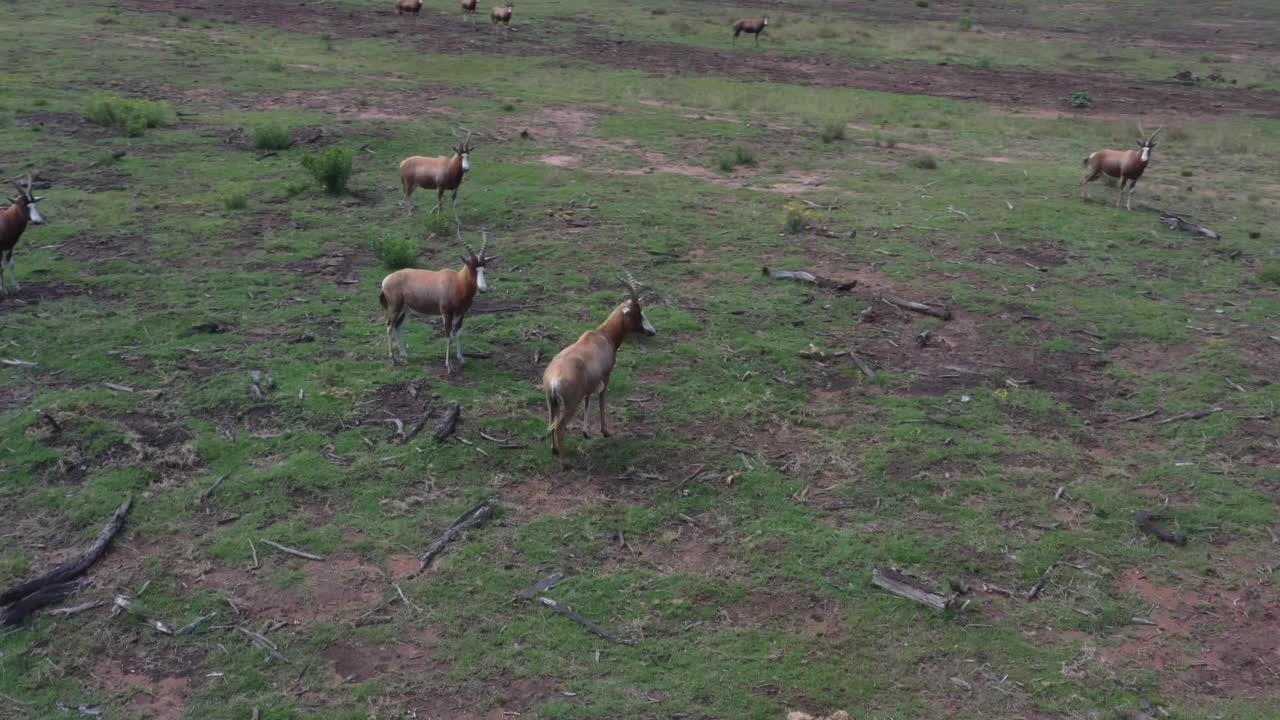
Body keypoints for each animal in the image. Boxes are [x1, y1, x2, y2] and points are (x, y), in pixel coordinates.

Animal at [373, 228, 494, 376]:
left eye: (484, 267)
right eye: (471, 267)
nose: (483, 289)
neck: (457, 281)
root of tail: (386, 280)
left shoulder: (462, 313)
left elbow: (458, 333)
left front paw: (461, 359)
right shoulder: (446, 313)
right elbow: (449, 335)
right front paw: (449, 366)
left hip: (405, 309)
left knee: (398, 326)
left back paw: (405, 355)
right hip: (395, 307)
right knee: (389, 326)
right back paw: (393, 360)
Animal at [542, 270, 655, 466]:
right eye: (637, 312)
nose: (652, 331)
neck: (602, 336)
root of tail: (555, 379)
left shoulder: (590, 382)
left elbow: (588, 399)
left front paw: (586, 432)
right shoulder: (606, 376)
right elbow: (602, 398)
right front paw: (605, 431)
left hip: (551, 402)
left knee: (551, 422)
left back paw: (554, 450)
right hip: (570, 404)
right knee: (559, 427)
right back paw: (565, 463)